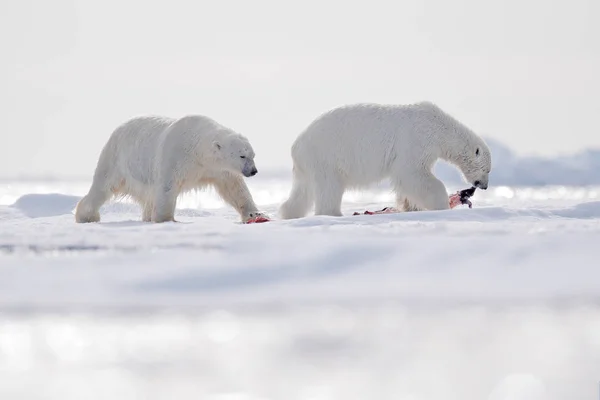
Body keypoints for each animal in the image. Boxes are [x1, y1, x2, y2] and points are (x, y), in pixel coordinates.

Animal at [74, 115, 266, 225]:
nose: (253, 171)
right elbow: (167, 186)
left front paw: (254, 214)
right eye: (242, 156)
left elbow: (235, 188)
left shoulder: (217, 169)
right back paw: (86, 216)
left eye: (253, 155)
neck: (197, 148)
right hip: (117, 159)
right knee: (103, 186)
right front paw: (166, 220)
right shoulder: (175, 156)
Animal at [278, 101, 490, 219]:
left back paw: (289, 214)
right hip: (326, 156)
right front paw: (440, 204)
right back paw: (334, 213)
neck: (439, 128)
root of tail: (296, 145)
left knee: (302, 192)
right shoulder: (416, 140)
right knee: (329, 188)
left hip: (309, 165)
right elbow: (412, 173)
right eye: (487, 170)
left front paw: (411, 206)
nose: (484, 186)